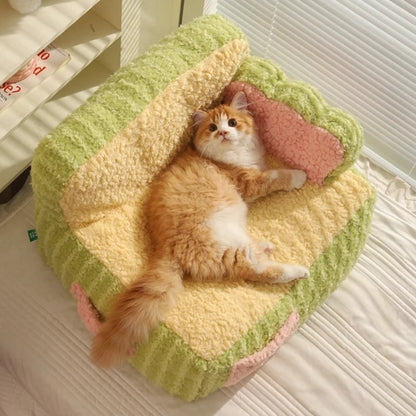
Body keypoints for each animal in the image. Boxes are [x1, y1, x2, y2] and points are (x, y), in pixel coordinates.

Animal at [92, 92, 310, 368]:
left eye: (232, 122)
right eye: (213, 127)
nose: (224, 133)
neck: (230, 156)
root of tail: (165, 249)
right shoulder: (250, 182)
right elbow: (279, 175)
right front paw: (300, 176)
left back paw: (267, 246)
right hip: (222, 242)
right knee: (257, 268)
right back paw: (299, 271)